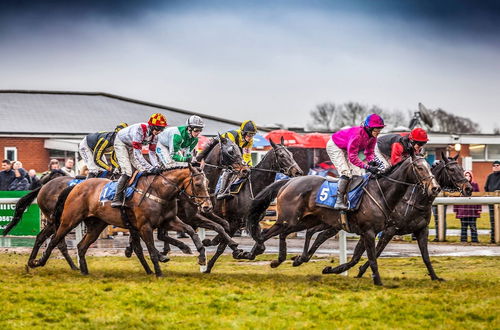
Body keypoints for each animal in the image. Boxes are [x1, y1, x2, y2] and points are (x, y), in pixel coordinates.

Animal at [31, 164, 211, 278]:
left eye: (208, 183)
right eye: (197, 183)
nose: (207, 206)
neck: (158, 191)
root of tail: (75, 186)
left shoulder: (169, 221)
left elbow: (190, 230)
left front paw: (201, 256)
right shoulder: (144, 226)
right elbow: (151, 250)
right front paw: (159, 272)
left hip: (96, 225)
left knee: (81, 246)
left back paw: (83, 270)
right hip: (68, 220)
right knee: (55, 240)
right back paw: (37, 262)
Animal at [202, 137, 302, 274]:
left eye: (291, 154)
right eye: (282, 155)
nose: (298, 172)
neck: (253, 188)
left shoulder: (253, 221)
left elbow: (260, 245)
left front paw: (244, 254)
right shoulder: (234, 222)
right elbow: (221, 246)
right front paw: (209, 266)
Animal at [245, 155, 438, 286]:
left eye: (430, 167)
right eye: (419, 168)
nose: (435, 188)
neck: (380, 192)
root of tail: (288, 182)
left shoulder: (370, 232)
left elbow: (358, 258)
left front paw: (436, 277)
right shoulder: (370, 232)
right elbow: (372, 258)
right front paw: (378, 281)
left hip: (304, 221)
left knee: (292, 234)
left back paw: (284, 259)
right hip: (290, 220)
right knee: (265, 233)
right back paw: (252, 253)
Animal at [292, 153, 472, 280]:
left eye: (462, 169)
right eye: (452, 169)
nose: (469, 188)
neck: (412, 199)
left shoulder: (421, 230)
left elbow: (426, 257)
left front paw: (435, 277)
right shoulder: (387, 230)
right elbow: (372, 253)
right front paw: (356, 271)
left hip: (333, 224)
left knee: (318, 234)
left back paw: (302, 257)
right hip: (331, 222)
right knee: (313, 232)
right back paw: (301, 258)